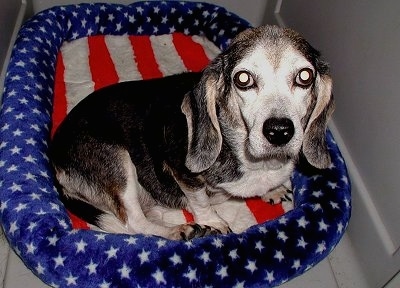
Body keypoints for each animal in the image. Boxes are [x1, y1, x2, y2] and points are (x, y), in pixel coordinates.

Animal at [50, 25, 334, 241]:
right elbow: (200, 201)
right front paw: (213, 222)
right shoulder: (181, 170)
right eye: (243, 79)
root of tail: (55, 159)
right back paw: (177, 230)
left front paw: (273, 190)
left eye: (305, 76)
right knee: (134, 223)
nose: (279, 131)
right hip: (118, 162)